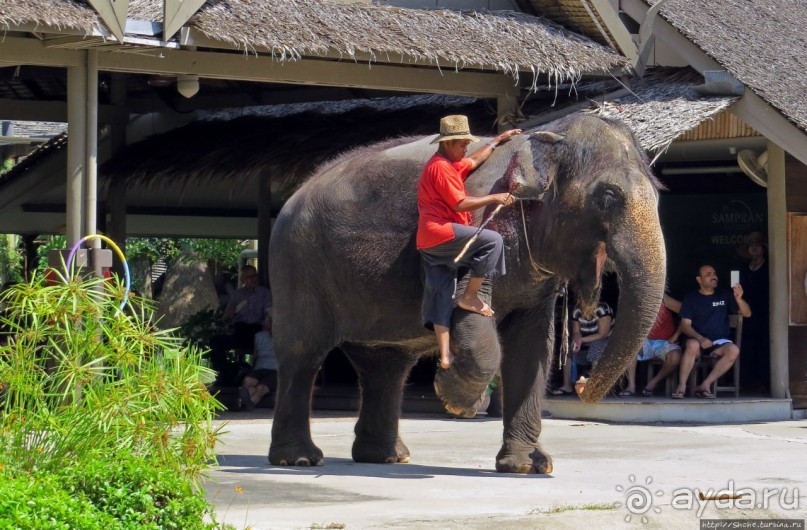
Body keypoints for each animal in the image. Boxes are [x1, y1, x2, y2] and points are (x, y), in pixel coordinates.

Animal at [268, 113, 664, 472]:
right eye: (608, 197)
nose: (580, 384)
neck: (543, 140)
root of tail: (295, 193)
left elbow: (533, 346)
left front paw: (528, 466)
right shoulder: (479, 222)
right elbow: (468, 308)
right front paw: (456, 401)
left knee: (384, 364)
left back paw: (388, 457)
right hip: (297, 267)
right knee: (302, 353)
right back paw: (299, 459)